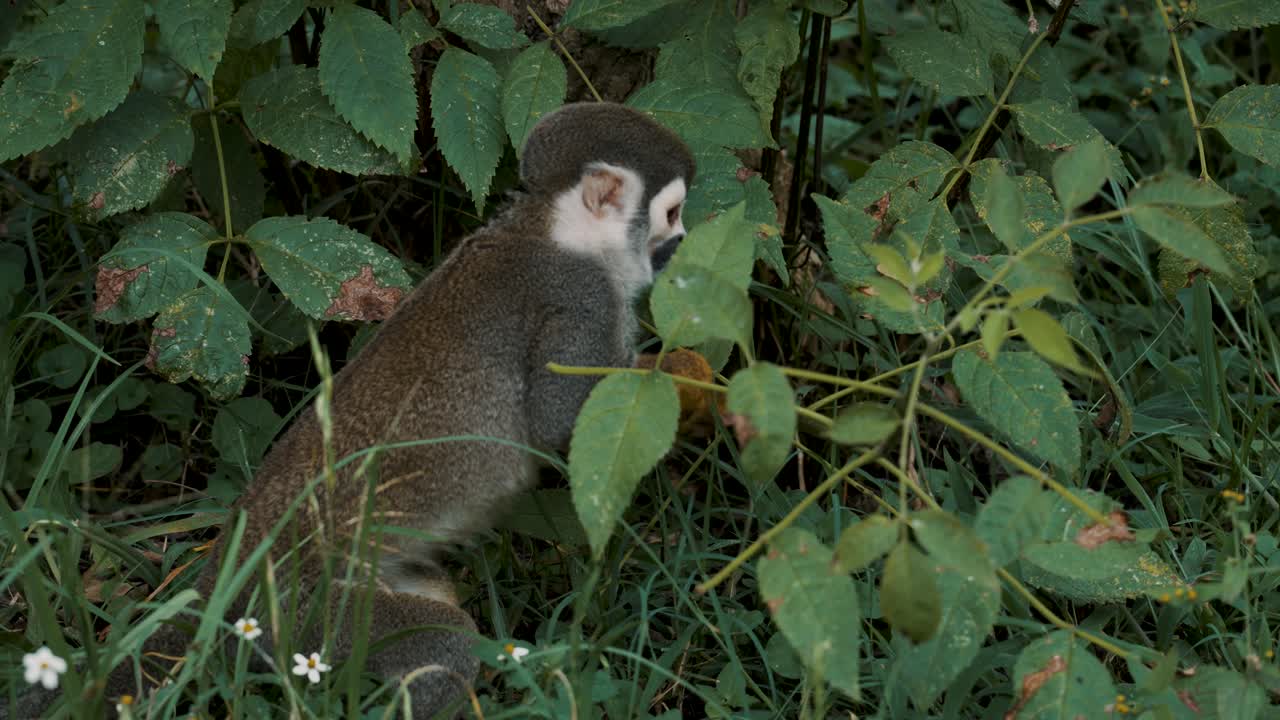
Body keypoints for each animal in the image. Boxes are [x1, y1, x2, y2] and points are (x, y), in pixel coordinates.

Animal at [2, 102, 695, 719]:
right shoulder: (578, 297)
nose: (683, 241)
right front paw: (686, 376)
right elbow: (562, 420)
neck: (554, 230)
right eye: (672, 212)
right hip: (296, 618)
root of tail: (219, 583)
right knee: (441, 637)